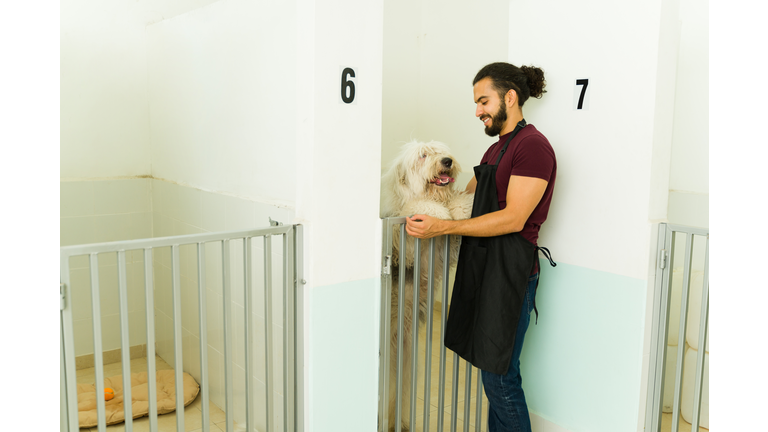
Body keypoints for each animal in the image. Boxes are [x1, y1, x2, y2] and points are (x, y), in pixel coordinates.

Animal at [380, 140, 474, 430]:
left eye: (442, 151)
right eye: (423, 156)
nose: (447, 161)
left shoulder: (444, 248)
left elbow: (457, 220)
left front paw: (463, 207)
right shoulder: (404, 239)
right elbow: (418, 208)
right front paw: (437, 211)